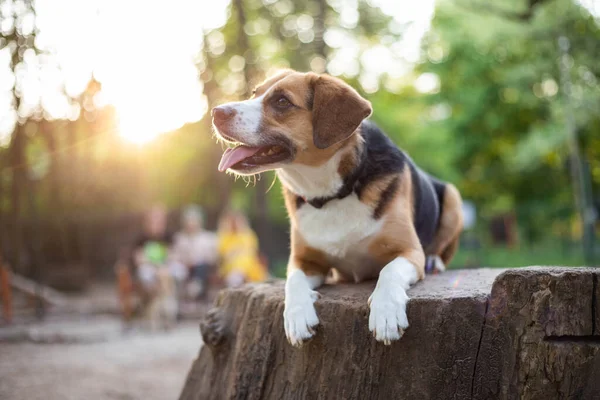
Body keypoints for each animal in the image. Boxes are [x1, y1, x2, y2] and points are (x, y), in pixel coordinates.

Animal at [211, 70, 464, 346]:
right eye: (254, 93)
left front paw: (386, 312)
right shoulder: (304, 260)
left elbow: (388, 272)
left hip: (453, 197)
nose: (216, 112)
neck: (331, 194)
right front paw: (297, 315)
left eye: (282, 101)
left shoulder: (408, 251)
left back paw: (434, 261)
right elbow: (293, 281)